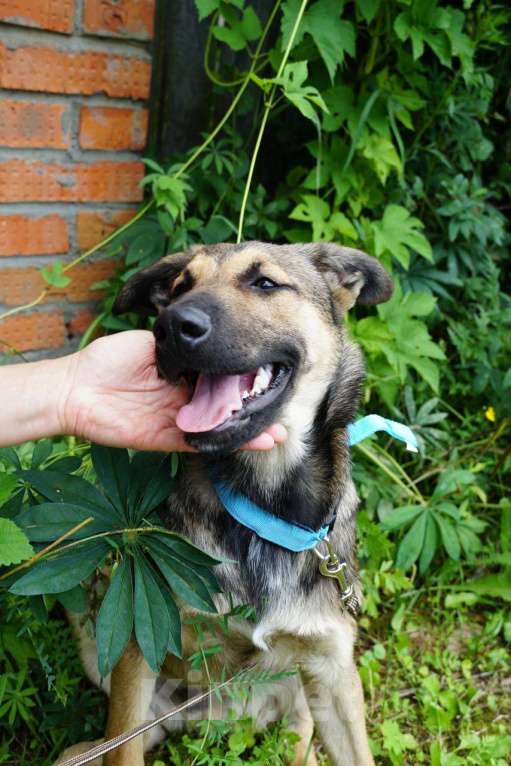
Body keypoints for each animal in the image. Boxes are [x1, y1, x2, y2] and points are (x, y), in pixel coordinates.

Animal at [56, 242, 392, 766]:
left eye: (265, 283)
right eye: (179, 287)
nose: (171, 327)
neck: (264, 506)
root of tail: (221, 719)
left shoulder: (334, 666)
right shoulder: (139, 643)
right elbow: (122, 749)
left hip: (302, 690)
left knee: (301, 735)